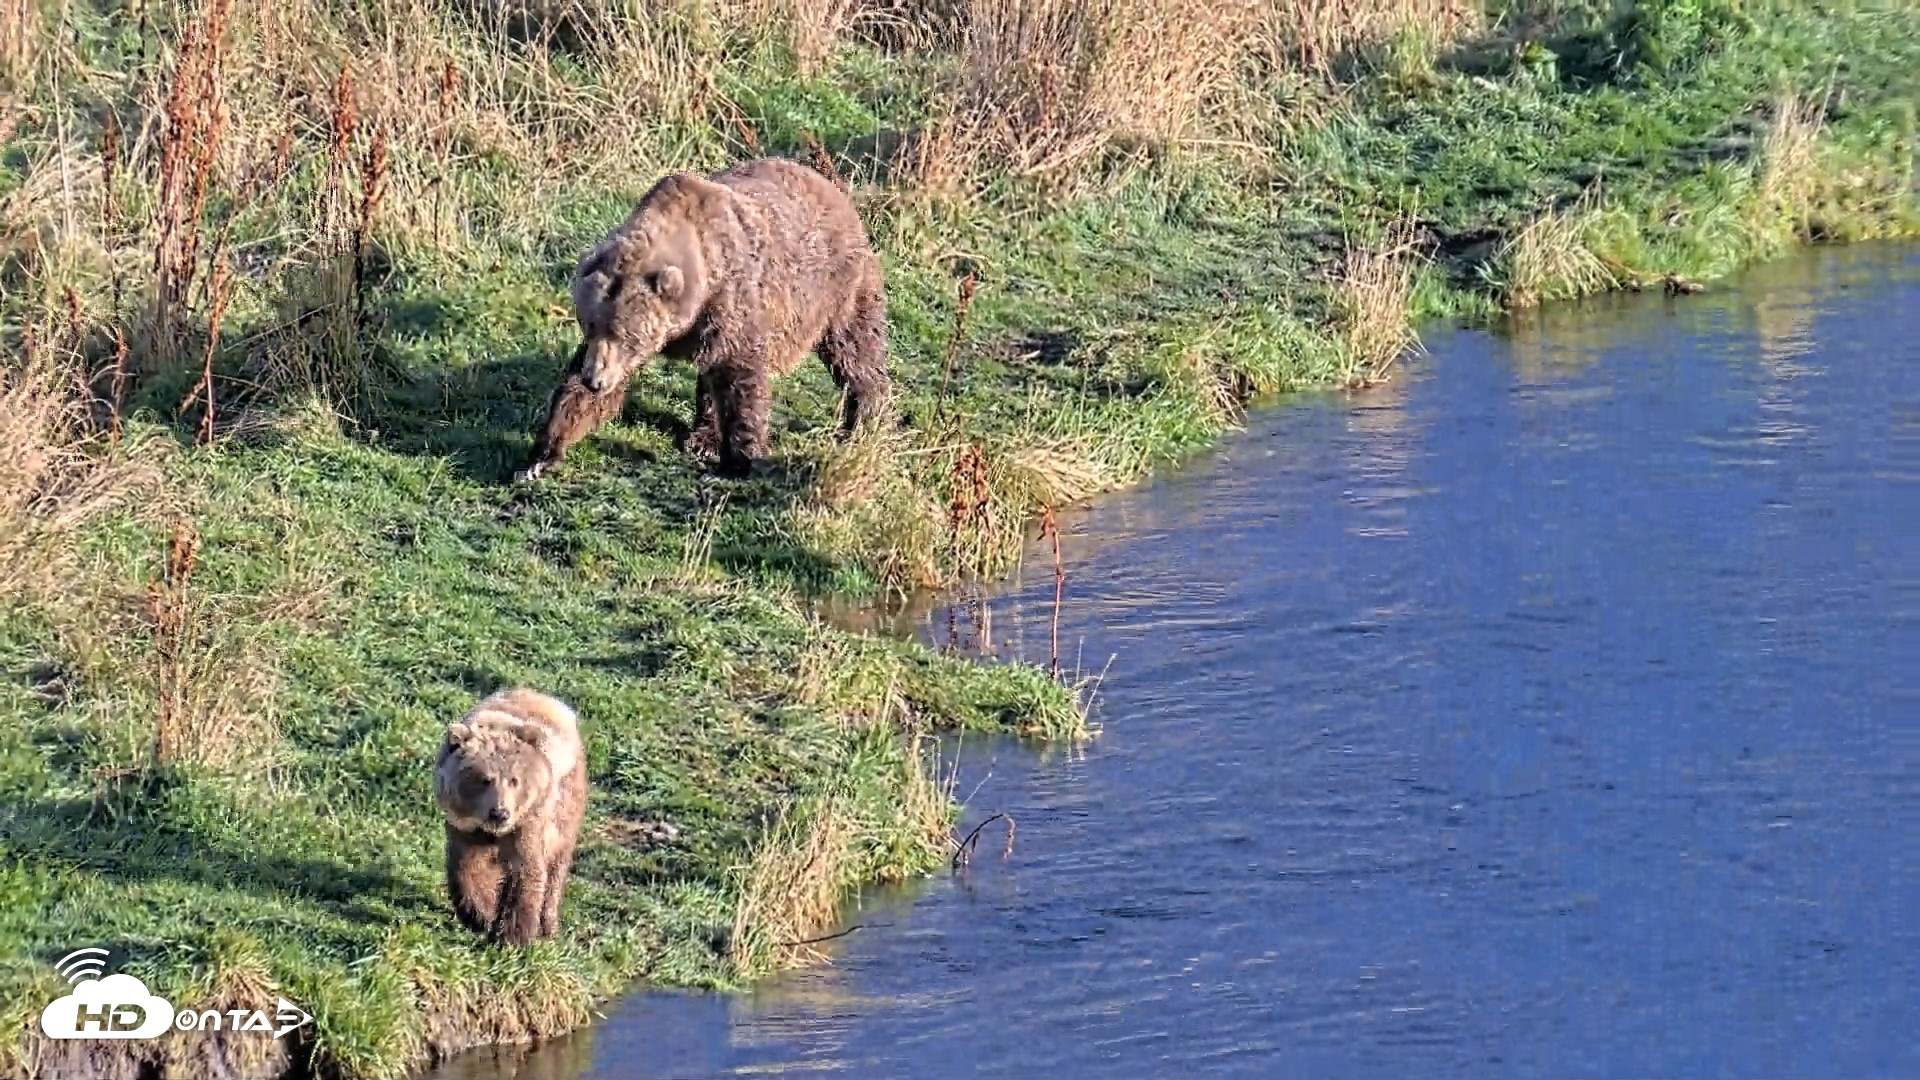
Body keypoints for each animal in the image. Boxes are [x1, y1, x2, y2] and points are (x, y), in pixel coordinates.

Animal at [434, 687, 589, 947]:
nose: (500, 812)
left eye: (515, 780)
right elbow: (466, 868)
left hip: (566, 808)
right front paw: (478, 914)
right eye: (484, 779)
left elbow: (526, 872)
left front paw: (513, 936)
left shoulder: (527, 825)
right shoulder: (465, 828)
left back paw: (548, 923)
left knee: (556, 867)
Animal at [513, 155, 892, 483]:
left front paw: (739, 461)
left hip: (840, 288)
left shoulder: (731, 305)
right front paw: (540, 456)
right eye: (589, 325)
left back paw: (865, 419)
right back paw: (702, 436)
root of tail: (832, 186)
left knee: (855, 351)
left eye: (627, 336)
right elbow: (579, 394)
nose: (595, 380)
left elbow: (741, 381)